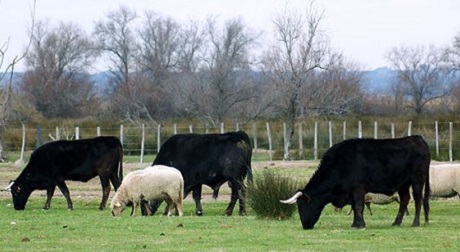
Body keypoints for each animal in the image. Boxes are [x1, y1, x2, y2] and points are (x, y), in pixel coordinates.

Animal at [280, 136, 432, 230]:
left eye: (301, 206)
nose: (305, 226)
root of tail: (417, 138)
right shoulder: (351, 192)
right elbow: (354, 207)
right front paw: (355, 224)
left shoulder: (358, 188)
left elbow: (358, 206)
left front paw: (360, 225)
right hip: (403, 184)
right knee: (405, 199)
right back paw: (396, 223)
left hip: (417, 180)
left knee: (418, 200)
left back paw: (415, 223)